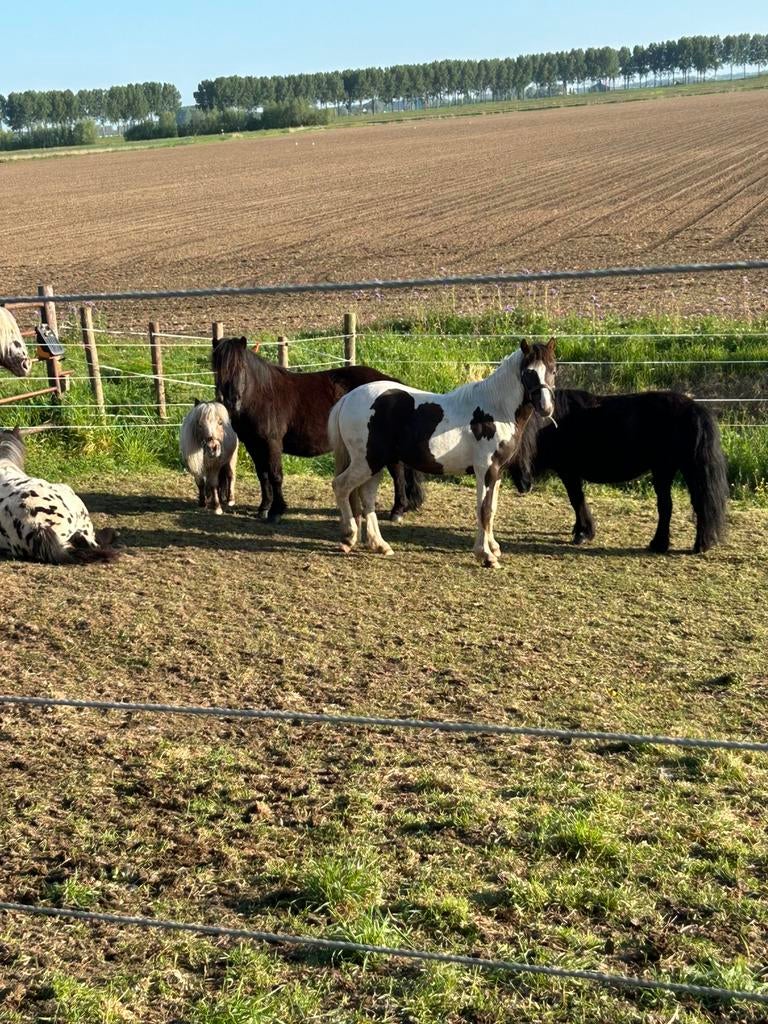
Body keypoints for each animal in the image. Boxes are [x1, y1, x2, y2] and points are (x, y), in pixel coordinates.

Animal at [211, 336, 424, 523]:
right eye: (216, 369)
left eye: (241, 366)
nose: (231, 401)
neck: (262, 394)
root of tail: (391, 383)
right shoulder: (254, 445)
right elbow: (263, 476)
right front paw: (264, 507)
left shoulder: (272, 444)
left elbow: (275, 475)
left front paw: (276, 512)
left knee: (398, 472)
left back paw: (397, 511)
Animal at [328, 339, 556, 567]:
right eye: (528, 372)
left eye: (553, 369)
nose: (546, 408)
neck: (495, 410)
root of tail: (348, 398)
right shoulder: (485, 469)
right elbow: (483, 510)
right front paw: (486, 555)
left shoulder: (497, 471)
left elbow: (491, 509)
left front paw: (493, 548)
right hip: (366, 462)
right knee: (341, 486)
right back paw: (349, 536)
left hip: (375, 464)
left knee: (367, 497)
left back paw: (380, 545)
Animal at [509, 389, 729, 554]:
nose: (524, 486)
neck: (554, 424)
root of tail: (693, 407)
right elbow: (577, 500)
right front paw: (580, 529)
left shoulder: (568, 472)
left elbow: (576, 499)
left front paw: (584, 533)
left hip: (669, 470)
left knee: (682, 505)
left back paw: (678, 545)